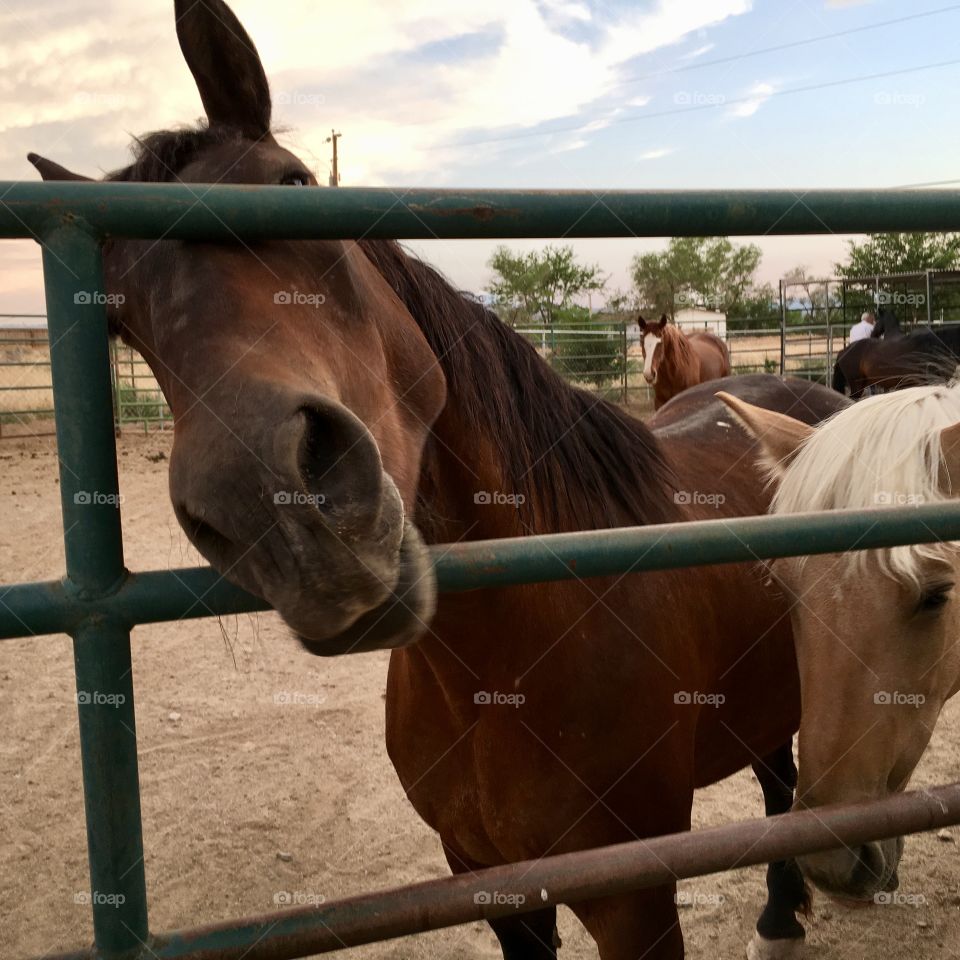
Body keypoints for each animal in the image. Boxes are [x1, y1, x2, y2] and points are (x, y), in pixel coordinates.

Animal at [31, 3, 856, 956]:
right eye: (118, 315)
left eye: (297, 186)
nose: (276, 512)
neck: (507, 661)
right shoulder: (490, 883)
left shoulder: (636, 900)